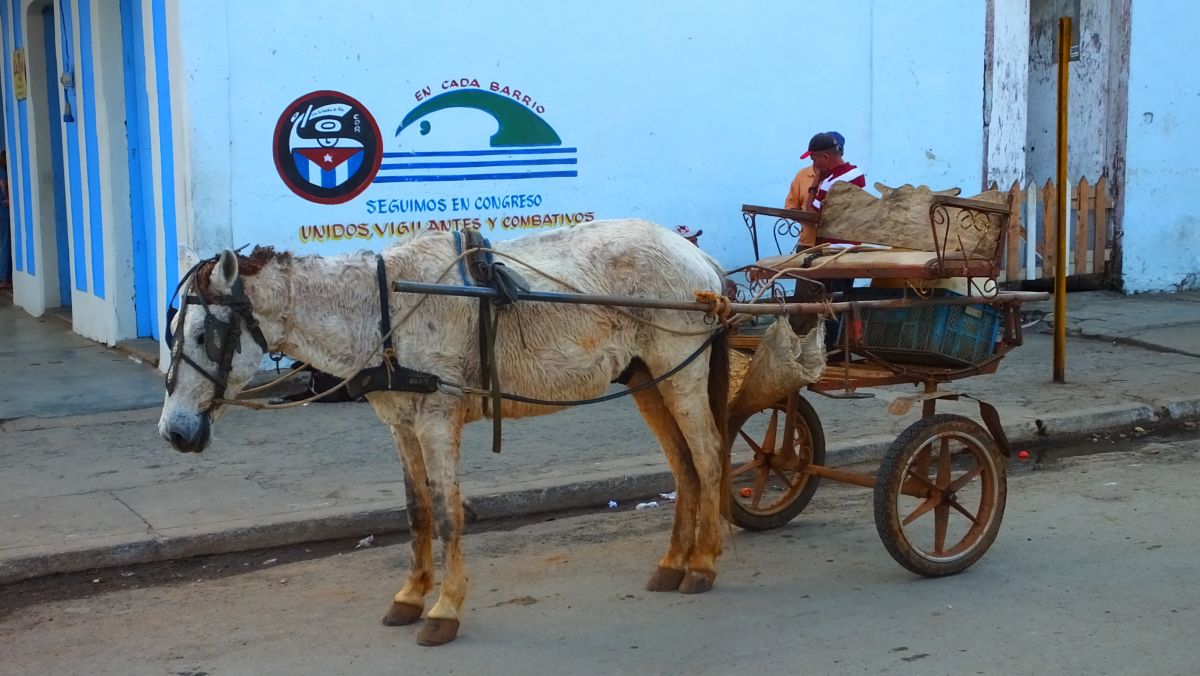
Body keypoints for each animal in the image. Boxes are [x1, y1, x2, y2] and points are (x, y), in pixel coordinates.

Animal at [159, 219, 729, 648]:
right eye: (171, 333)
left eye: (206, 335)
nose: (174, 432)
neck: (382, 309)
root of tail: (698, 258)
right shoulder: (400, 423)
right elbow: (417, 512)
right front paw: (411, 595)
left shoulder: (436, 418)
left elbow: (448, 512)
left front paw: (445, 608)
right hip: (644, 377)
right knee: (682, 464)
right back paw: (673, 563)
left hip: (678, 369)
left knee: (707, 455)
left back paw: (702, 563)